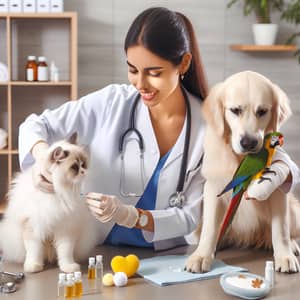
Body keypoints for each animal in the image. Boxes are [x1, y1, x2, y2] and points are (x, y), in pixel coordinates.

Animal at [0, 135, 101, 274]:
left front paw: (68, 267)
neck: (57, 193)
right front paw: (34, 266)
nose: (83, 171)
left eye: (83, 164)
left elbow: (65, 252)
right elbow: (34, 251)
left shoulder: (66, 229)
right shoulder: (33, 228)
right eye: (75, 167)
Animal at [185, 71, 300, 274]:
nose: (248, 143)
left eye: (262, 111)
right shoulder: (213, 187)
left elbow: (280, 228)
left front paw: (284, 256)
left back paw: (291, 245)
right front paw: (201, 255)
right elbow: (210, 227)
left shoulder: (279, 192)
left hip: (294, 210)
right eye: (235, 110)